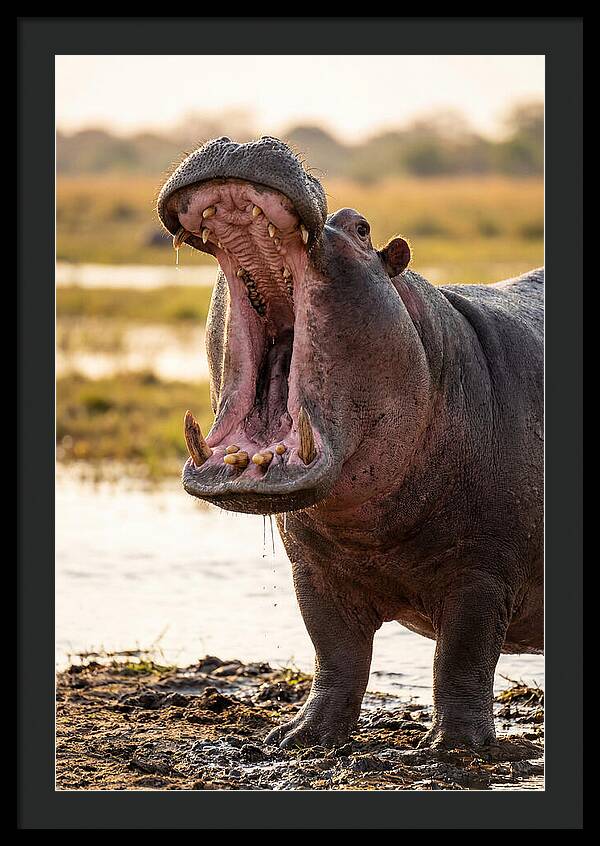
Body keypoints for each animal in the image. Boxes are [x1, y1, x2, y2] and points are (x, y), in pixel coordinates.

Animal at [157, 136, 543, 750]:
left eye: (361, 228)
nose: (244, 140)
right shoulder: (313, 572)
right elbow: (336, 653)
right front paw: (299, 737)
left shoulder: (483, 574)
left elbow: (462, 658)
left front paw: (456, 748)